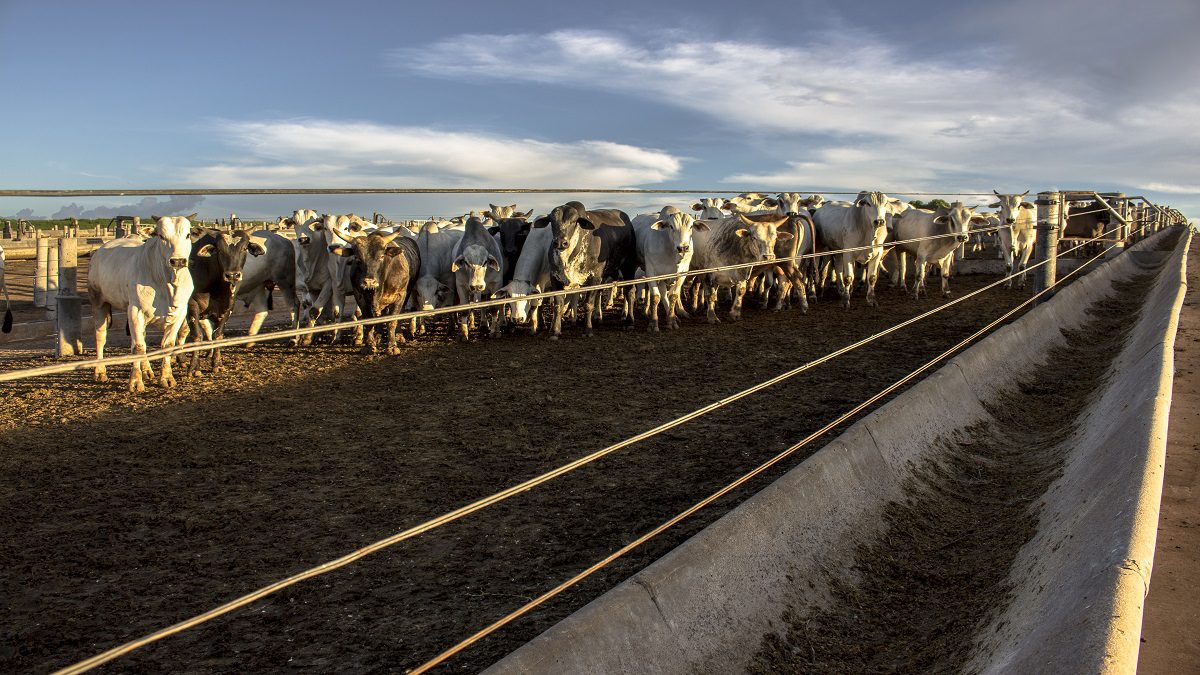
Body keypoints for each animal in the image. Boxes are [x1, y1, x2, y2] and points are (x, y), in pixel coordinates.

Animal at [88, 214, 196, 392]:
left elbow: (167, 345)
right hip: (98, 302)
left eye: (188, 235)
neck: (167, 283)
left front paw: (167, 378)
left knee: (141, 338)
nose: (178, 261)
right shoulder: (135, 310)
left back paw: (147, 370)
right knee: (100, 336)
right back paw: (100, 371)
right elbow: (138, 347)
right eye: (161, 236)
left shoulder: (180, 313)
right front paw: (135, 382)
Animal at [182, 229, 265, 375]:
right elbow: (197, 336)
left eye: (244, 248)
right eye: (220, 250)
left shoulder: (227, 308)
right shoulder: (191, 305)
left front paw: (217, 363)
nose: (232, 275)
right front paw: (194, 368)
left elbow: (218, 335)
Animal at [532, 201, 638, 338]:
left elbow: (588, 304)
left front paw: (587, 329)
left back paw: (629, 321)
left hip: (628, 266)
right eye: (552, 221)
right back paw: (598, 317)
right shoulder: (555, 277)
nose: (560, 242)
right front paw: (555, 331)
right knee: (601, 293)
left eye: (574, 221)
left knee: (629, 292)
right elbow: (558, 305)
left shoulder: (594, 277)